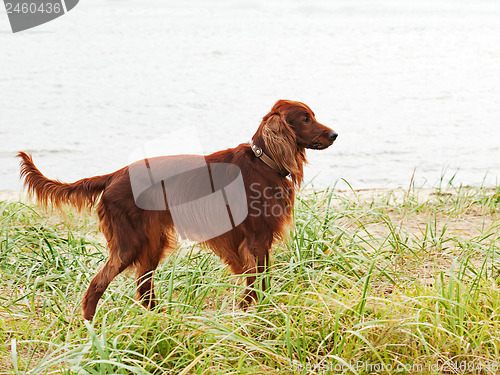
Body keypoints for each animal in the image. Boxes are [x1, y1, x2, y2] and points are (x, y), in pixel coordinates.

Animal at [17, 100, 338, 320]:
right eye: (305, 118)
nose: (335, 134)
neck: (264, 161)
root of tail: (114, 175)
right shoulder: (257, 239)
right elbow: (258, 282)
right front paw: (257, 313)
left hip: (152, 242)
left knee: (143, 288)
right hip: (131, 243)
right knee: (97, 285)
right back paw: (92, 329)